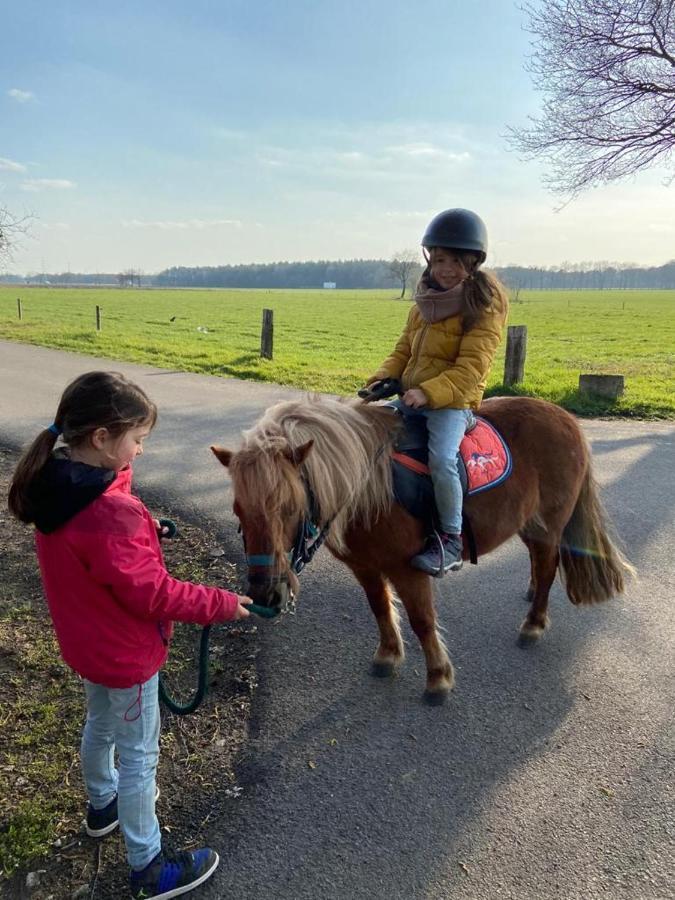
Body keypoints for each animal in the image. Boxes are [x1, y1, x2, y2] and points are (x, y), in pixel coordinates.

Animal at [214, 400, 636, 704]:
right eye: (238, 510)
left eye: (289, 507)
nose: (265, 595)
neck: (369, 488)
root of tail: (566, 418)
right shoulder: (365, 567)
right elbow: (380, 608)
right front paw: (387, 655)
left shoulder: (409, 569)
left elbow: (421, 620)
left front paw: (438, 679)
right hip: (528, 523)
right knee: (537, 561)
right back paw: (531, 595)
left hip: (550, 524)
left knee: (548, 567)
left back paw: (533, 623)